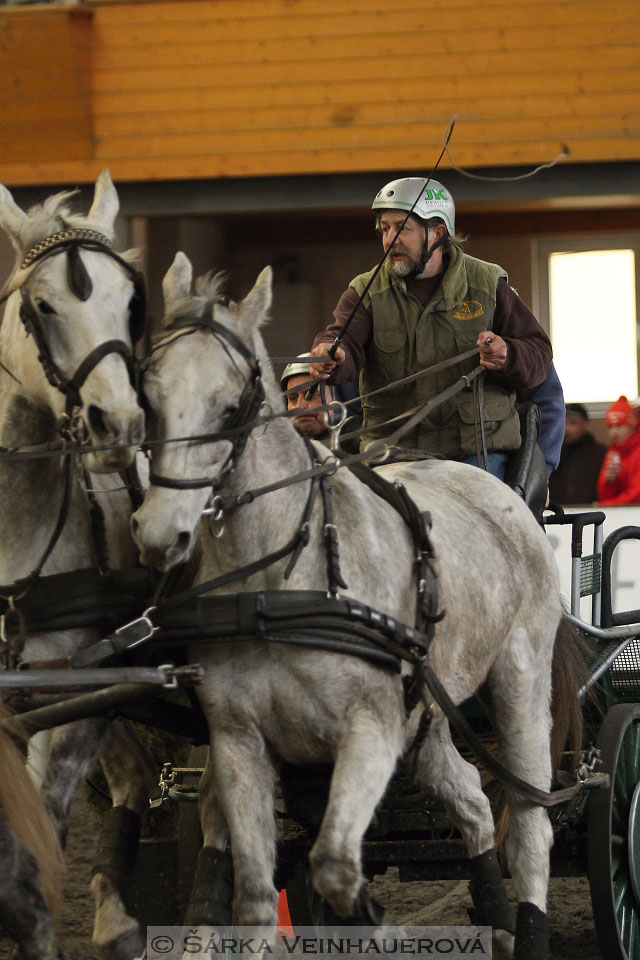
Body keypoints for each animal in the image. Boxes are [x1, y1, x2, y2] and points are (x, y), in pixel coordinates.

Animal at [131, 255, 580, 960]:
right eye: (147, 396)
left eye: (232, 406)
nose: (158, 532)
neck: (282, 585)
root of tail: (498, 491)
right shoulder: (237, 740)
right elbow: (254, 897)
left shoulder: (368, 729)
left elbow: (338, 868)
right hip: (428, 713)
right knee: (473, 801)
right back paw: (496, 919)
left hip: (521, 678)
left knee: (530, 816)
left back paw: (528, 929)